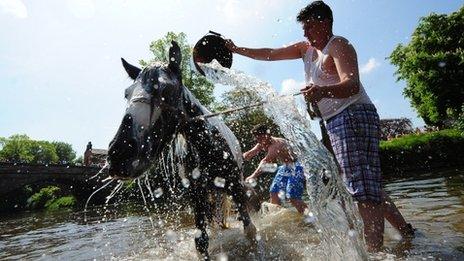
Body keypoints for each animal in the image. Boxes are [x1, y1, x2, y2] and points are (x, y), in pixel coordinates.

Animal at [106, 41, 258, 258]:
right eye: (127, 93)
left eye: (166, 88)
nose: (119, 153)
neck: (208, 146)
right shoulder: (197, 194)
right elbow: (201, 241)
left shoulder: (235, 186)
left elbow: (250, 229)